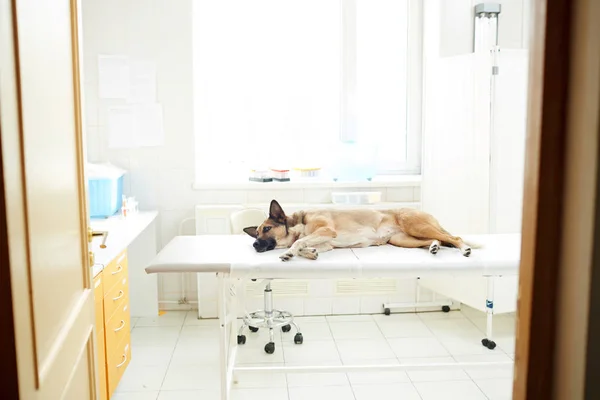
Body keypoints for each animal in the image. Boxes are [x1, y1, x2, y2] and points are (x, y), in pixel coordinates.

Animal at [241, 200, 476, 262]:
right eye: (257, 233)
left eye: (267, 229)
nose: (254, 244)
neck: (299, 223)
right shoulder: (325, 242)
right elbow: (304, 245)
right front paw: (309, 253)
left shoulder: (326, 231)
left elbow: (299, 243)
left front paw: (290, 252)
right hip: (405, 239)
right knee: (437, 241)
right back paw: (434, 247)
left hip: (415, 225)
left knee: (453, 237)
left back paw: (464, 248)